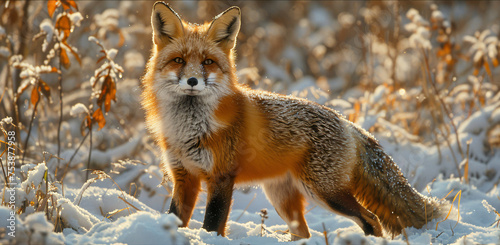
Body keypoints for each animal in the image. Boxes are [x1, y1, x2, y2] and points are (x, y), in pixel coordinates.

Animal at [141, 1, 442, 239]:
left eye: (207, 62)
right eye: (179, 60)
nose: (192, 81)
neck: (190, 128)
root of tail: (347, 123)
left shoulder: (221, 177)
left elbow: (212, 225)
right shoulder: (184, 177)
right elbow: (176, 218)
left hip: (325, 192)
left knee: (372, 219)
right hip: (283, 197)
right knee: (305, 233)